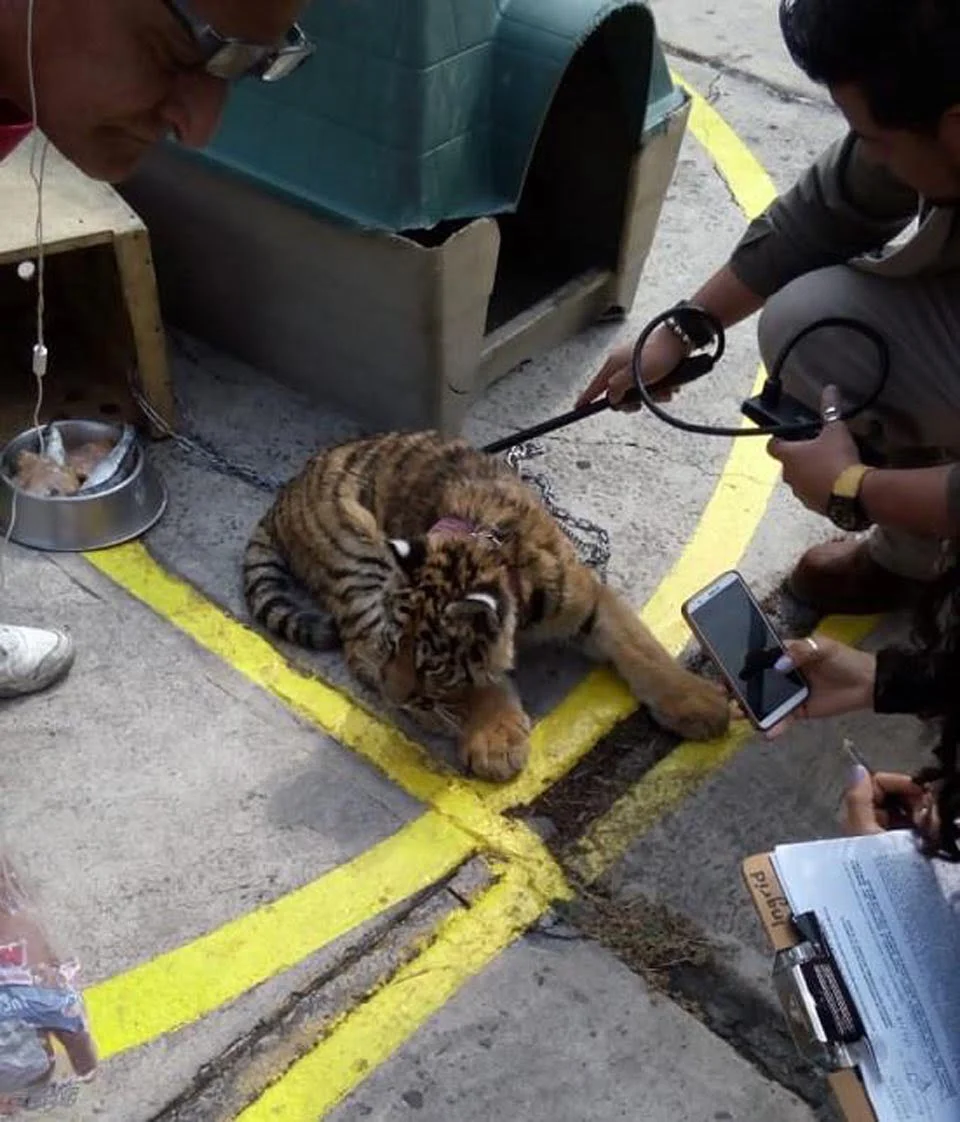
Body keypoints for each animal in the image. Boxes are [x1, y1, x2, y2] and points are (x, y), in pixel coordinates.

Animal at [242, 431, 729, 782]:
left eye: (430, 665)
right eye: (397, 648)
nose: (399, 696)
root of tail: (285, 491)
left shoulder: (589, 598)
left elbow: (640, 648)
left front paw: (698, 703)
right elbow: (479, 680)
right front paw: (495, 742)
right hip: (358, 551)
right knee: (358, 646)